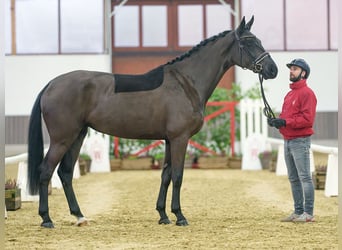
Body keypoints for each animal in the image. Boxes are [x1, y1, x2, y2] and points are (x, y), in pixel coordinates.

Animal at [27, 16, 278, 229]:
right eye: (248, 43)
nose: (272, 70)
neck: (186, 83)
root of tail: (51, 84)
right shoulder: (179, 139)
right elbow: (178, 175)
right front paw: (180, 216)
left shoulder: (168, 140)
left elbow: (165, 175)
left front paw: (163, 215)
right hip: (63, 139)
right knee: (46, 170)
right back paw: (46, 219)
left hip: (78, 136)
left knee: (66, 173)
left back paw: (79, 216)